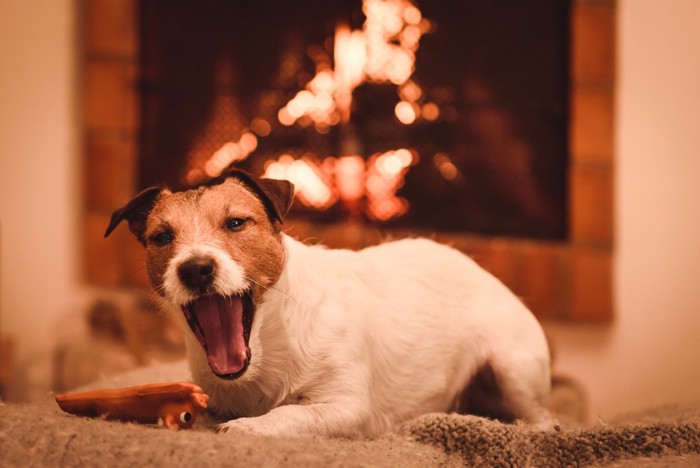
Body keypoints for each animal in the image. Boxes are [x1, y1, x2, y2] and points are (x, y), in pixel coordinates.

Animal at [105, 169, 552, 438]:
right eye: (162, 237)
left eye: (236, 223)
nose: (196, 269)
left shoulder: (346, 406)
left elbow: (290, 413)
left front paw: (247, 428)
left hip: (514, 369)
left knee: (544, 421)